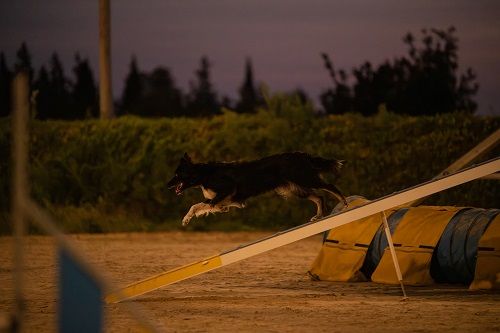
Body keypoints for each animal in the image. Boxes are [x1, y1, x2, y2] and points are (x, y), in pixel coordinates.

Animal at [168, 151, 348, 224]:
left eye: (177, 174)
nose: (167, 185)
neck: (204, 175)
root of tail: (302, 155)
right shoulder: (224, 200)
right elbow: (202, 206)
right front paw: (187, 219)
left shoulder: (226, 191)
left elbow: (197, 205)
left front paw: (185, 219)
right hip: (297, 188)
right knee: (319, 197)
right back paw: (318, 216)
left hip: (305, 179)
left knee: (330, 186)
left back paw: (345, 202)